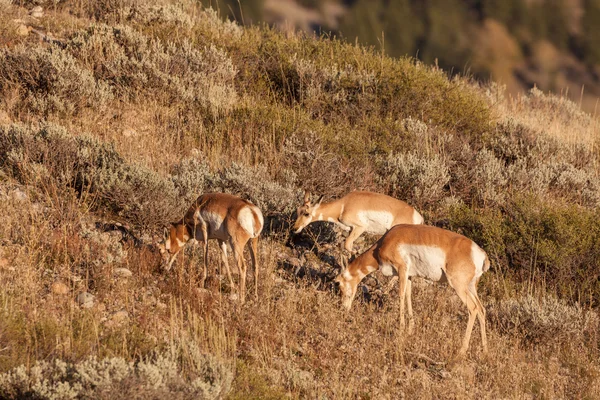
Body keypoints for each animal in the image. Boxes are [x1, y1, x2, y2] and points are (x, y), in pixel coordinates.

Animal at [292, 191, 424, 253]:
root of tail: (417, 216)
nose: (295, 228)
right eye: (298, 211)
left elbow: (347, 245)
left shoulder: (360, 228)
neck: (343, 205)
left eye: (306, 213)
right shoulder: (350, 229)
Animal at [336, 223, 490, 358]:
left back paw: (462, 350)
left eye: (338, 283)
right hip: (471, 288)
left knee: (473, 308)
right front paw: (410, 329)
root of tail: (480, 254)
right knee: (481, 309)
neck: (384, 242)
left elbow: (401, 295)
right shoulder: (409, 275)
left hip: (459, 286)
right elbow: (408, 296)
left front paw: (401, 329)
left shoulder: (402, 269)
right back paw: (484, 351)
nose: (343, 308)